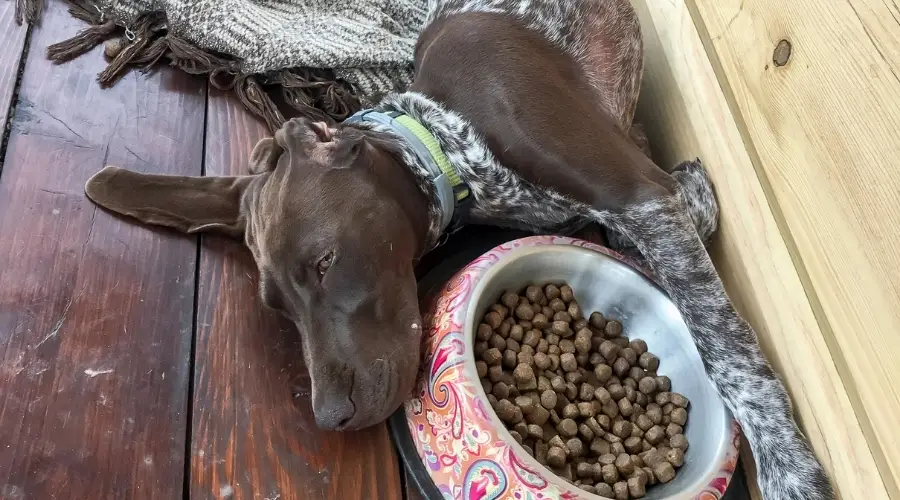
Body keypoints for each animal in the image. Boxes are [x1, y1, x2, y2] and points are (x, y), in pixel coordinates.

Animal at [82, 0, 828, 496]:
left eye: (326, 263)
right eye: (278, 305)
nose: (330, 417)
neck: (446, 144)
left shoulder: (636, 193)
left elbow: (730, 353)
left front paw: (790, 471)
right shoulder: (632, 194)